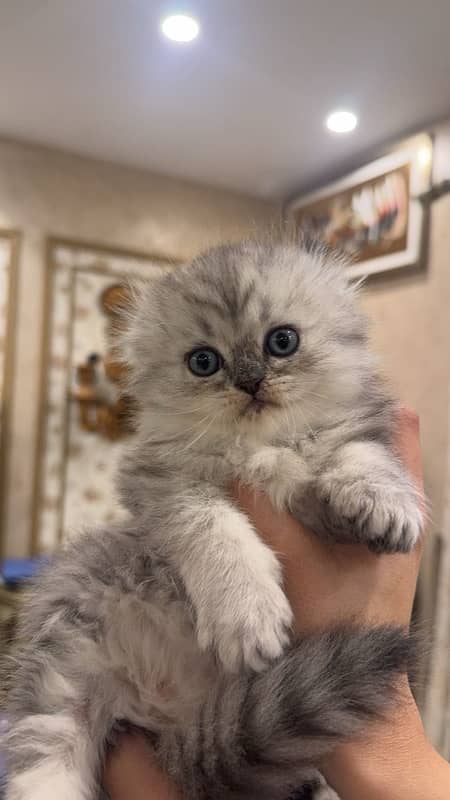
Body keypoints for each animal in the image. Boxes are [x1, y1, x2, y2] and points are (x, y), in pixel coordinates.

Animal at [1, 238, 422, 800]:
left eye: (282, 341)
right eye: (204, 362)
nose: (249, 382)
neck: (257, 444)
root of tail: (164, 710)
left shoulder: (359, 426)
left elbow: (361, 454)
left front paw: (381, 500)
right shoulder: (165, 484)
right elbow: (216, 535)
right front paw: (245, 614)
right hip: (61, 673)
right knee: (42, 756)